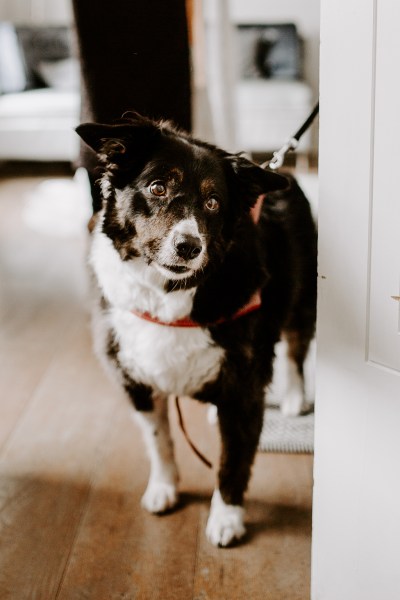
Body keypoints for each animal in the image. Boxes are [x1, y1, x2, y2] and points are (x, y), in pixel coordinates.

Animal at [76, 113, 318, 548]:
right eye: (157, 187)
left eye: (213, 202)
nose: (189, 247)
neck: (169, 293)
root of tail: (283, 169)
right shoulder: (135, 379)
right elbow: (160, 441)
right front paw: (163, 488)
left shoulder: (243, 390)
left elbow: (233, 460)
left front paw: (226, 518)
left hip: (303, 295)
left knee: (296, 348)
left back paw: (293, 398)